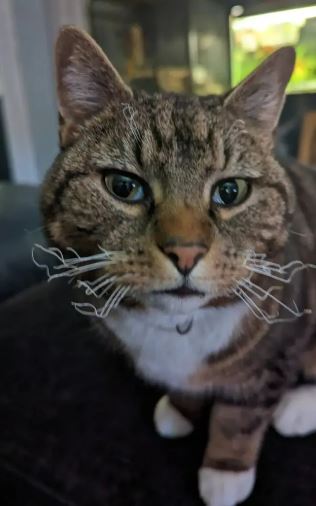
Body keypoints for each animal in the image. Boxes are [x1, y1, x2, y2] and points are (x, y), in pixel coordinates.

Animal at [38, 26, 316, 506]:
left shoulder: (280, 346)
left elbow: (240, 415)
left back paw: (296, 409)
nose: (185, 252)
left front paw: (225, 470)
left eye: (231, 191)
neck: (179, 327)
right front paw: (181, 407)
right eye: (124, 186)